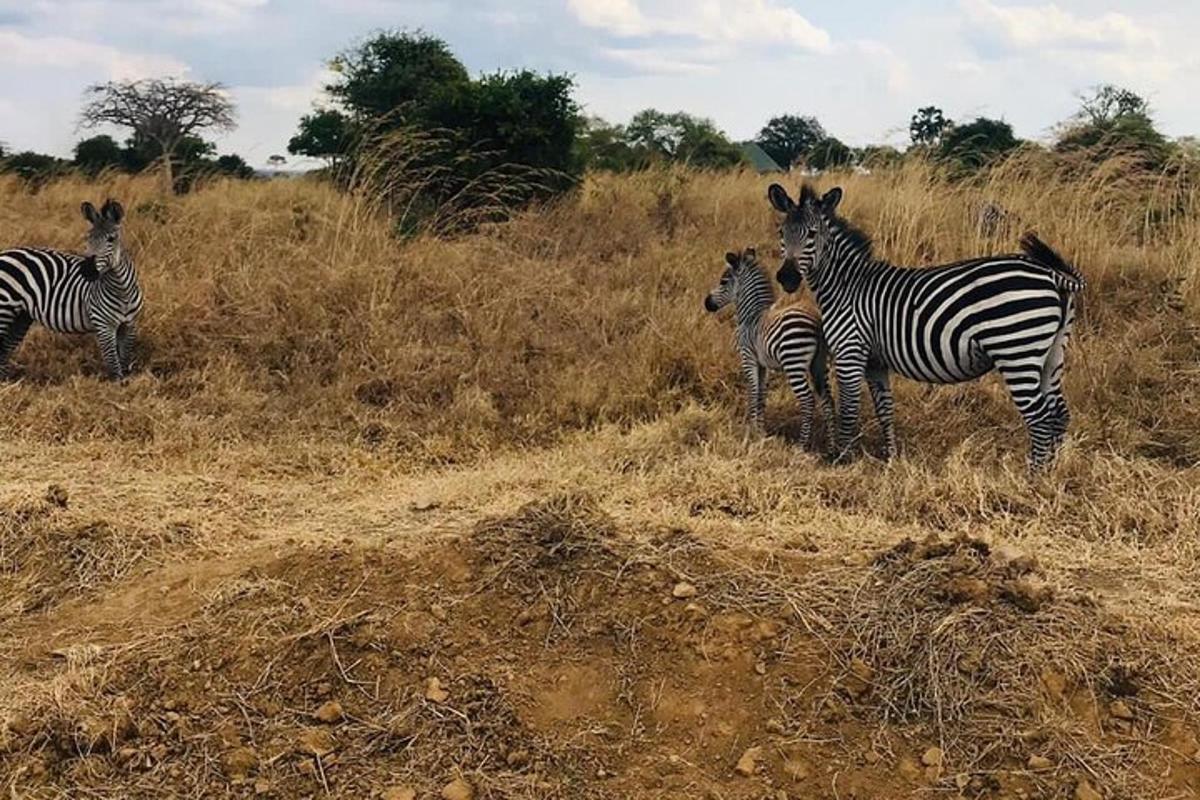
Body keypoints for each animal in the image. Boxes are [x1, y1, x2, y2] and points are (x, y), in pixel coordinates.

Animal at [0, 196, 143, 379]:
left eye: (111, 239)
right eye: (88, 239)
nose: (87, 270)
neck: (122, 291)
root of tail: (5, 253)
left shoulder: (129, 325)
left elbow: (124, 361)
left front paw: (128, 381)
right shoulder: (104, 326)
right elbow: (114, 364)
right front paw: (118, 384)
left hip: (20, 316)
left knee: (5, 350)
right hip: (4, 309)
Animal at [700, 247, 835, 448]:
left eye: (723, 281)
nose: (707, 303)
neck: (750, 315)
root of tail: (817, 320)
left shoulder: (748, 358)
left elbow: (753, 393)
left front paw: (751, 432)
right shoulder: (762, 364)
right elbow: (761, 396)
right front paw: (760, 432)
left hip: (794, 362)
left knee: (808, 400)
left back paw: (802, 445)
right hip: (819, 364)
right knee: (828, 400)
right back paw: (834, 446)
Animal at [768, 183, 1089, 470]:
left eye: (812, 234)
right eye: (781, 234)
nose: (787, 279)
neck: (845, 285)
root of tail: (1050, 274)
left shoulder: (850, 351)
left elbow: (848, 408)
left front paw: (842, 459)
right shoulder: (875, 361)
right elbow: (885, 409)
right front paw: (890, 458)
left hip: (1016, 350)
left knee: (1040, 417)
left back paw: (1033, 477)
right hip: (1051, 354)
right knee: (1058, 414)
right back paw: (1052, 473)